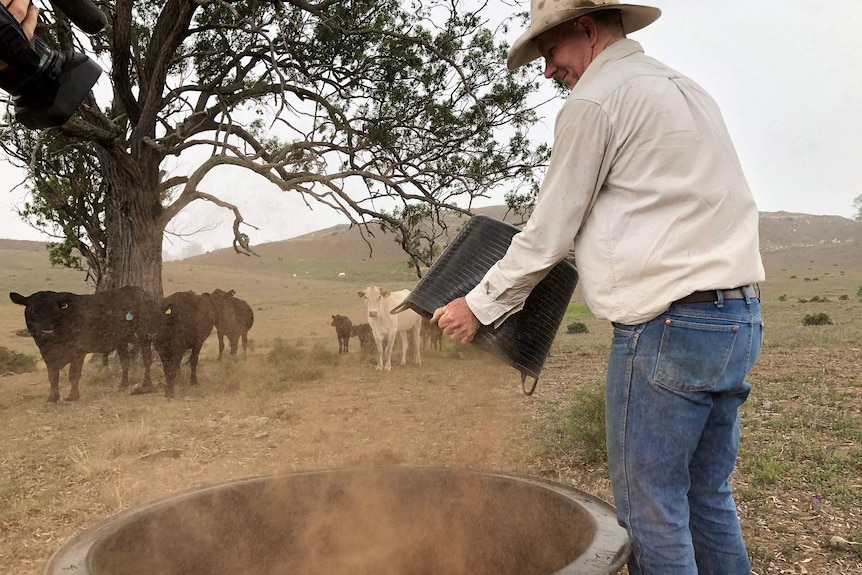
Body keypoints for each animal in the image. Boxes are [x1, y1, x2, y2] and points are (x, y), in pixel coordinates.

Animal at [9, 286, 155, 402]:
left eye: (55, 311)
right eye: (33, 311)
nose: (47, 331)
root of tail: (141, 292)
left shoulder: (78, 351)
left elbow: (73, 374)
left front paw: (73, 396)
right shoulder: (47, 354)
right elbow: (53, 376)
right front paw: (52, 397)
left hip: (144, 335)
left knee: (147, 359)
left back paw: (146, 384)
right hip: (122, 341)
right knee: (125, 361)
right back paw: (123, 385)